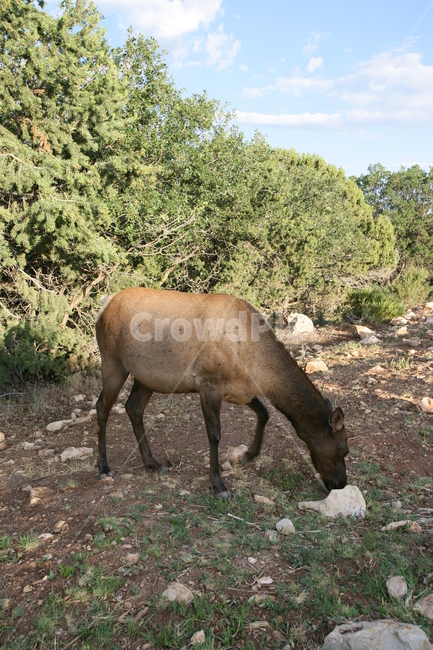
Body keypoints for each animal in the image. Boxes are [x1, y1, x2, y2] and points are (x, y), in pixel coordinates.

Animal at [95, 287, 349, 498]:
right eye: (343, 450)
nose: (341, 484)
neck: (257, 366)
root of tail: (104, 304)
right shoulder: (209, 384)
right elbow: (215, 434)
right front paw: (218, 485)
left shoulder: (240, 390)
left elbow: (264, 413)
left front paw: (246, 456)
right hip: (112, 360)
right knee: (102, 407)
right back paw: (104, 468)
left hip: (145, 376)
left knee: (133, 407)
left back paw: (153, 464)